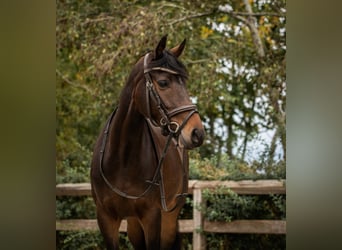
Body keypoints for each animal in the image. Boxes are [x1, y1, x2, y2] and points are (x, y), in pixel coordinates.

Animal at [89, 34, 204, 248]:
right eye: (164, 82)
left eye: (184, 82)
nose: (197, 133)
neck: (122, 158)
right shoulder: (106, 219)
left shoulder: (152, 217)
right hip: (133, 222)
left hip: (169, 217)